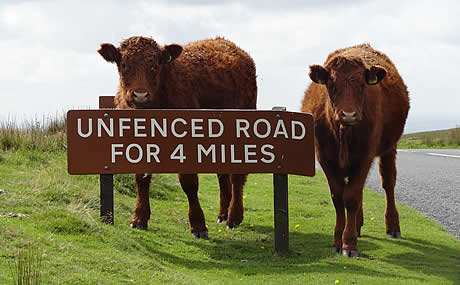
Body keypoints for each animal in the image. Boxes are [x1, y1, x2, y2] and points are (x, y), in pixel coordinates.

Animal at [98, 35, 256, 237]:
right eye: (124, 64)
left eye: (155, 65)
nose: (140, 94)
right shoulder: (138, 146)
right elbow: (141, 179)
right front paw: (139, 218)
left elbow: (189, 183)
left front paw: (198, 225)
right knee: (222, 174)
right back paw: (222, 214)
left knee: (237, 176)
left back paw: (233, 217)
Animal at [302, 43, 410, 256]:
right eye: (331, 85)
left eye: (362, 85)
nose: (349, 114)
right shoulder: (325, 158)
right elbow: (338, 197)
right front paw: (337, 240)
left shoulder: (364, 156)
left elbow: (351, 197)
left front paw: (349, 244)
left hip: (389, 148)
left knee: (388, 184)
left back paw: (393, 227)